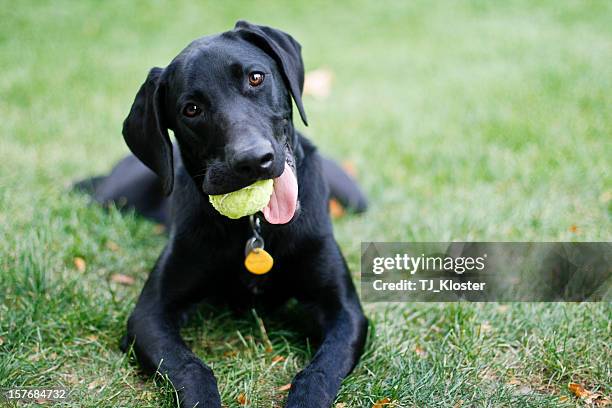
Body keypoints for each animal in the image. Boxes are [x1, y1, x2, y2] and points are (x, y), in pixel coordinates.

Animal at [79, 20, 370, 406]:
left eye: (256, 78)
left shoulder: (344, 311)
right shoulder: (149, 315)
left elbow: (321, 369)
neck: (256, 225)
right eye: (191, 109)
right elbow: (190, 367)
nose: (253, 161)